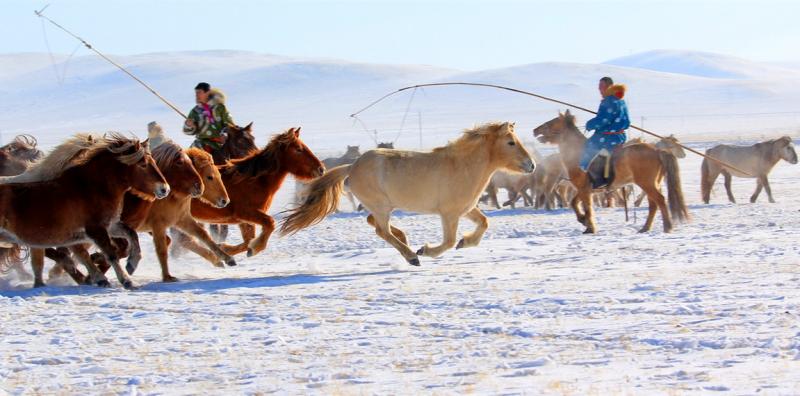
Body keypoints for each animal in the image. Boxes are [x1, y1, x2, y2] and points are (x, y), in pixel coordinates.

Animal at [0, 135, 169, 290]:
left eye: (153, 161)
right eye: (143, 164)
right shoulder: (95, 230)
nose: (164, 189)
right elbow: (110, 253)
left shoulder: (110, 226)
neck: (90, 188)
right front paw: (127, 281)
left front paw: (131, 265)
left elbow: (131, 235)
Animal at [186, 127, 324, 256]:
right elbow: (270, 223)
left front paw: (226, 248)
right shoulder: (246, 213)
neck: (253, 181)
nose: (321, 169)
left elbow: (248, 241)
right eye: (299, 149)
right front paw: (257, 247)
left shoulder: (244, 221)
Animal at [532, 110, 688, 235]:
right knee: (653, 204)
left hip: (647, 183)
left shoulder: (584, 187)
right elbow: (574, 203)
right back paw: (645, 228)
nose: (535, 130)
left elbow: (587, 206)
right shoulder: (584, 188)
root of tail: (657, 150)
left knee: (660, 200)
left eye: (552, 122)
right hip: (652, 183)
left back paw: (667, 227)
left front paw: (590, 227)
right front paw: (583, 220)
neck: (576, 152)